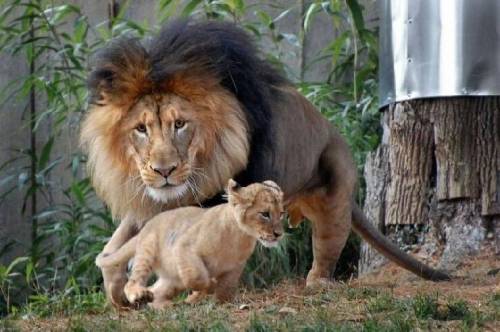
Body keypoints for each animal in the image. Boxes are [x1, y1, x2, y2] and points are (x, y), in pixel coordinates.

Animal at [82, 20, 450, 306]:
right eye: (141, 129)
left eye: (180, 124)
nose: (164, 171)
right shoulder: (151, 202)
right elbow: (117, 242)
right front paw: (116, 287)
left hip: (335, 194)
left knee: (327, 248)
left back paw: (317, 283)